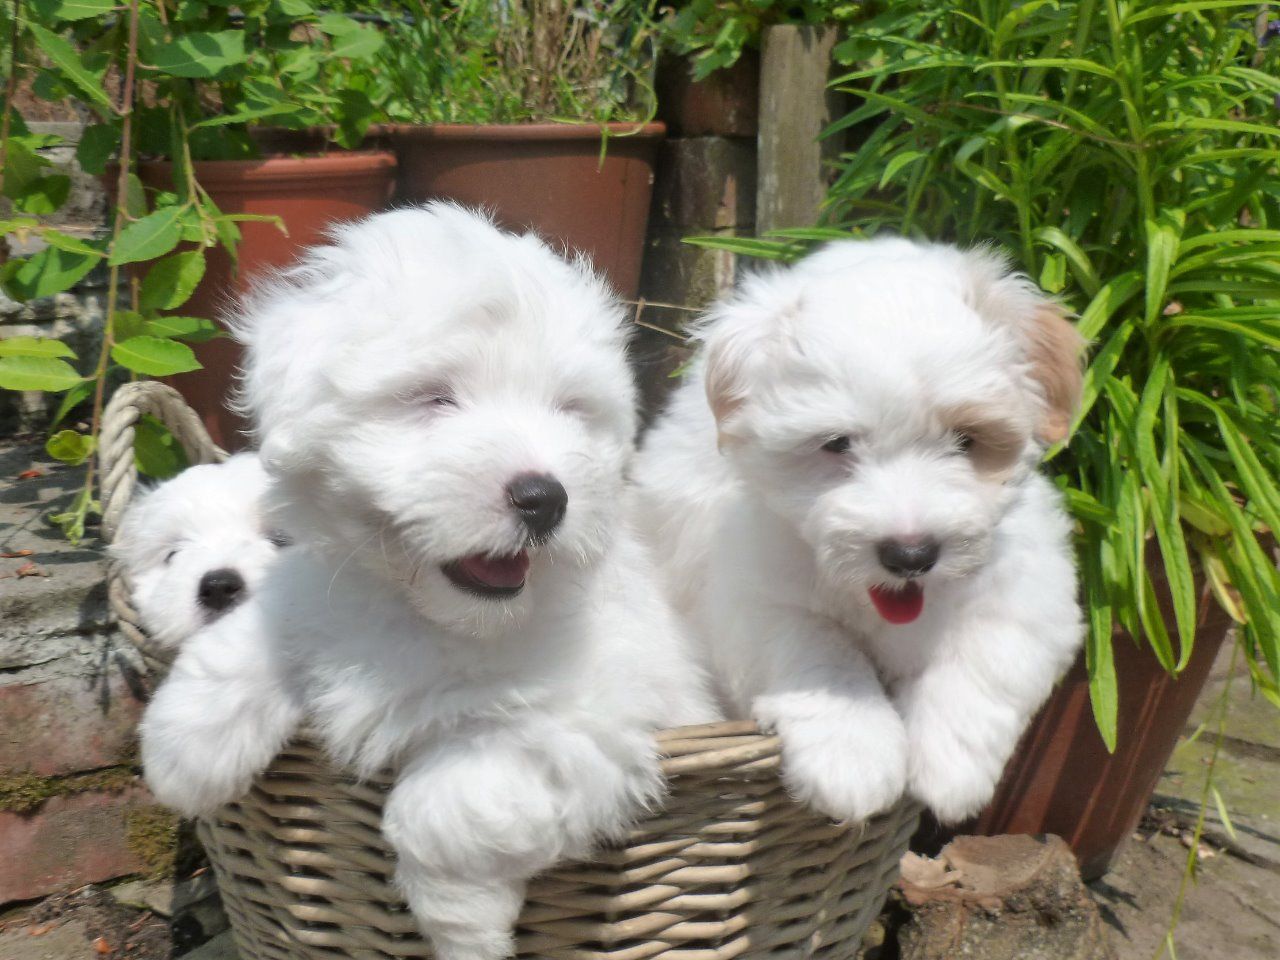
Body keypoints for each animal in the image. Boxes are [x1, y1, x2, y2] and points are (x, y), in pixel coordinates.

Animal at [142, 203, 721, 960]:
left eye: (570, 410)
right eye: (434, 398)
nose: (545, 498)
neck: (435, 616)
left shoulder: (582, 723)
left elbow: (443, 807)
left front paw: (462, 925)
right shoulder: (318, 597)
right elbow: (247, 645)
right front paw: (181, 753)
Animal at [634, 239, 1085, 829]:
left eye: (967, 439)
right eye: (836, 443)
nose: (911, 553)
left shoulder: (1032, 587)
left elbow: (989, 654)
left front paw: (951, 765)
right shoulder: (752, 596)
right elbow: (821, 651)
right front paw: (854, 756)